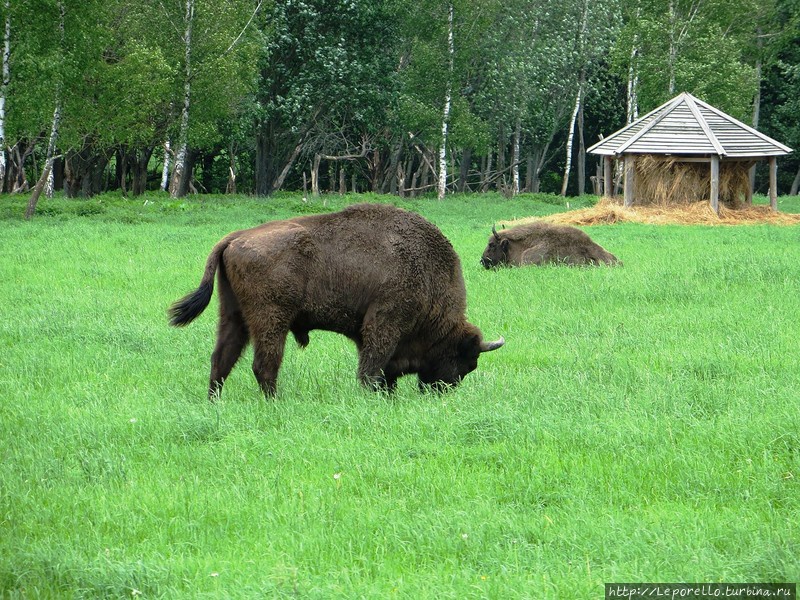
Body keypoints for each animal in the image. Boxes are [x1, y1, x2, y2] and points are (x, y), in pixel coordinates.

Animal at [169, 203, 504, 398]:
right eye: (466, 361)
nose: (440, 392)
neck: (426, 271)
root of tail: (235, 237)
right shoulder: (384, 324)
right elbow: (372, 367)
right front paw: (372, 396)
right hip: (271, 319)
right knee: (264, 364)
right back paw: (274, 402)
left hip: (232, 314)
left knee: (222, 358)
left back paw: (214, 402)